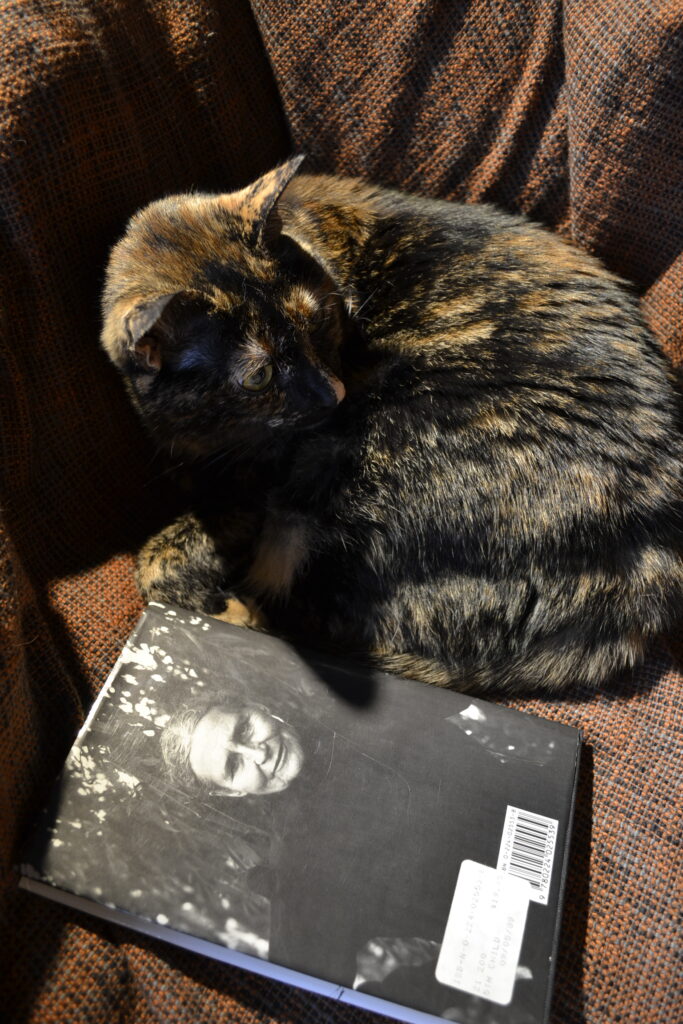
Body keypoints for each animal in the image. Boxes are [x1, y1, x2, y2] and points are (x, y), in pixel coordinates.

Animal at [100, 153, 683, 696]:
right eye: (259, 375)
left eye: (317, 318)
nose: (334, 394)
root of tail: (649, 577)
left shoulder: (263, 485)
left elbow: (156, 561)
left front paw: (219, 600)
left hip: (358, 459)